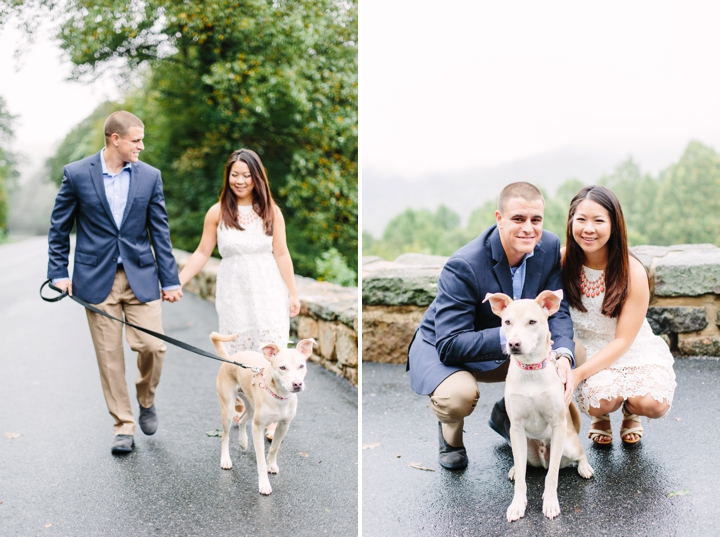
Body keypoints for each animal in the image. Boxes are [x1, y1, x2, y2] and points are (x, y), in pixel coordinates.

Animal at [212, 332, 316, 496]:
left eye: (301, 366)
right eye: (282, 367)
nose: (297, 384)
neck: (279, 397)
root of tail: (230, 358)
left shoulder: (283, 426)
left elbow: (274, 448)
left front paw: (271, 465)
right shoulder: (258, 427)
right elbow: (260, 460)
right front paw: (264, 484)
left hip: (250, 406)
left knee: (242, 420)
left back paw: (243, 441)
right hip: (228, 409)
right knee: (224, 436)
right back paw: (225, 460)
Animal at [480, 292, 592, 520]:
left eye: (532, 322)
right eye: (507, 322)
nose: (513, 344)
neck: (531, 368)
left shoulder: (558, 425)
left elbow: (552, 475)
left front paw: (550, 502)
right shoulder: (516, 428)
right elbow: (522, 479)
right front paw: (517, 504)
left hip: (569, 445)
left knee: (579, 454)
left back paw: (584, 467)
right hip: (524, 445)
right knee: (523, 463)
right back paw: (515, 469)